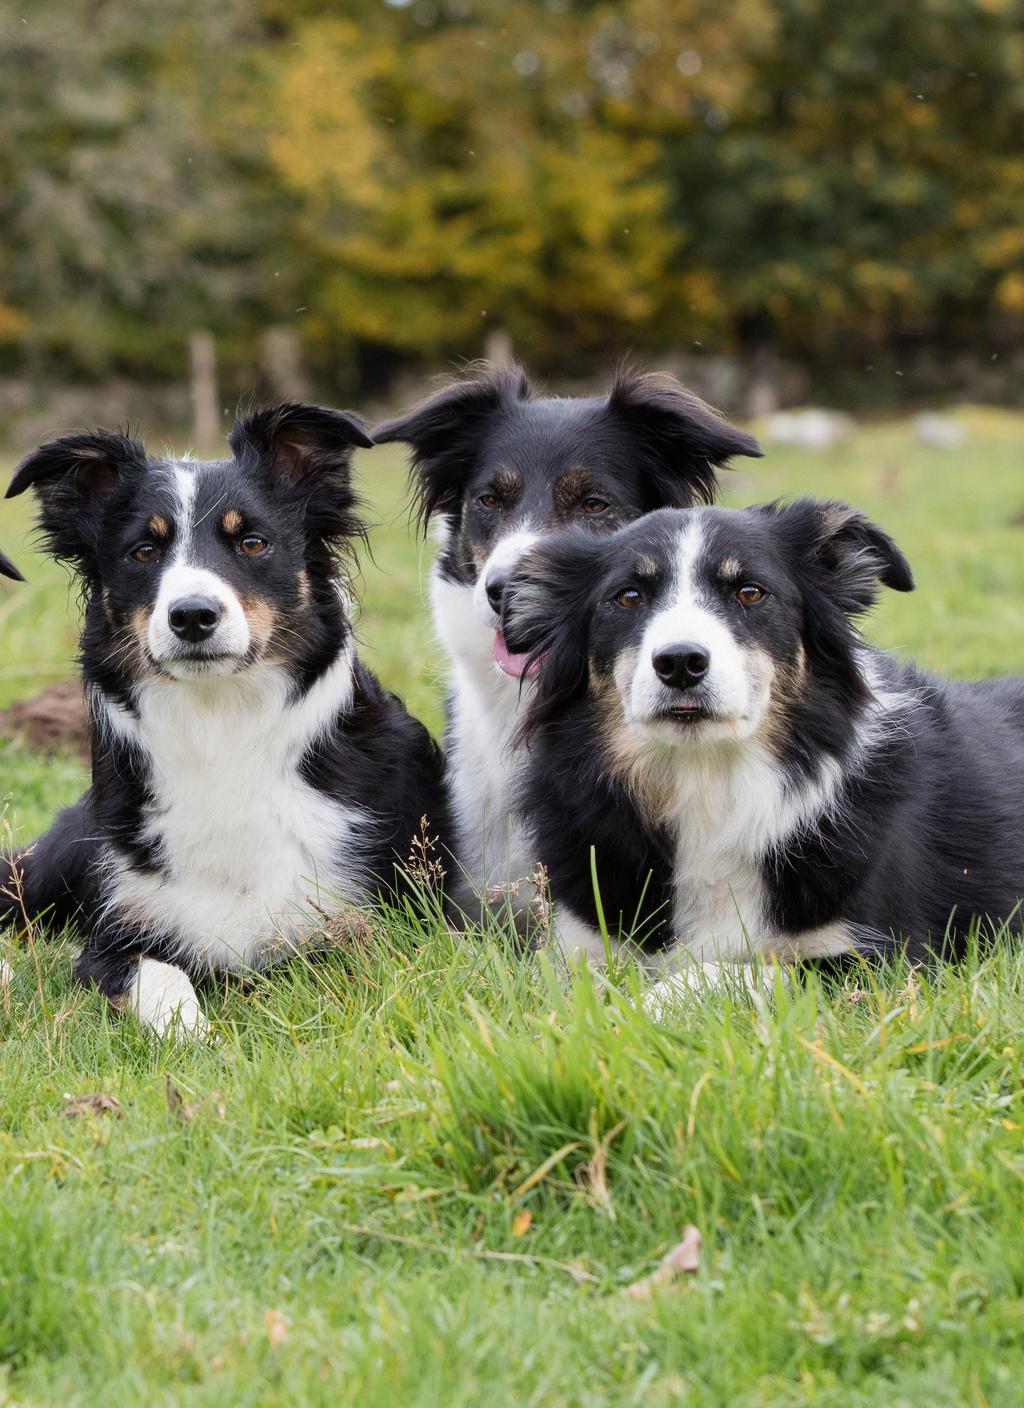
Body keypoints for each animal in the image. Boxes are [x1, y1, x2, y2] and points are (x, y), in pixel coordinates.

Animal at [0, 405, 447, 1036]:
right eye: (144, 551)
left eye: (252, 543)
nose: (192, 616)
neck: (221, 723)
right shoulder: (112, 936)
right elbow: (156, 973)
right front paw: (187, 1031)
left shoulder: (375, 921)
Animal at [501, 504, 1024, 991]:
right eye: (628, 597)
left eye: (749, 592)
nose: (680, 662)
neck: (706, 778)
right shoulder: (581, 943)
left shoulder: (884, 960)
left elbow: (733, 970)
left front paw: (650, 1002)